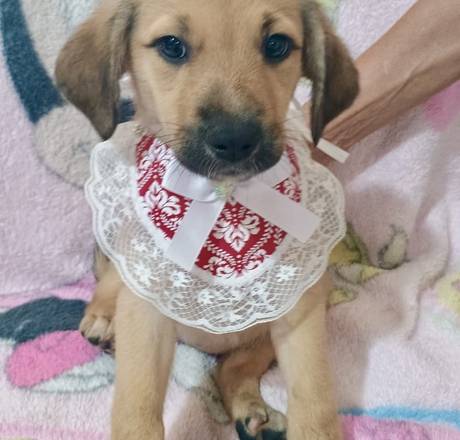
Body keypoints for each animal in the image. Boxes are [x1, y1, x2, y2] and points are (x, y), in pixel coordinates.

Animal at [55, 0, 358, 438]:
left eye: (277, 44)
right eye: (172, 46)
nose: (234, 140)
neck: (225, 203)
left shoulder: (300, 309)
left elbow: (314, 399)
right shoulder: (146, 314)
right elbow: (136, 406)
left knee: (232, 369)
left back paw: (253, 411)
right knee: (110, 280)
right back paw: (102, 318)